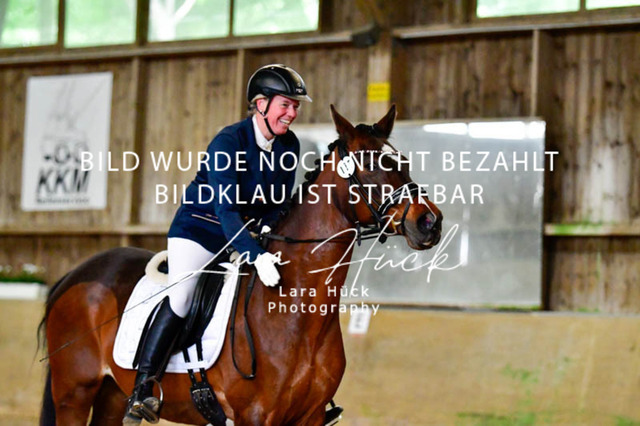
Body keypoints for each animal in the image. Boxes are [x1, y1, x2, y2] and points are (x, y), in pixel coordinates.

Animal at [38, 104, 443, 426]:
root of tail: (75, 274)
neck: (297, 308)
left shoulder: (309, 417)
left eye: (404, 163)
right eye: (371, 164)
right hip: (75, 392)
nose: (429, 222)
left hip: (110, 393)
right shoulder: (255, 416)